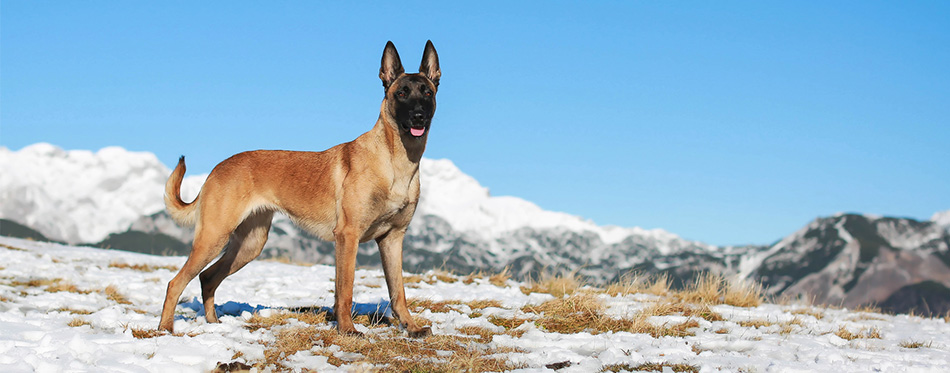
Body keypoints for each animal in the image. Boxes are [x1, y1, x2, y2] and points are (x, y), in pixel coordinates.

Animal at [160, 40, 442, 338]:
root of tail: (216, 169)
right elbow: (345, 289)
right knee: (176, 282)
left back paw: (213, 323)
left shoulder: (393, 239)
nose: (419, 117)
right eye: (401, 93)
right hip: (213, 237)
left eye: (427, 93)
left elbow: (398, 291)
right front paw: (347, 329)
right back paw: (166, 328)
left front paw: (411, 327)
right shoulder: (348, 236)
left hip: (249, 245)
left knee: (207, 277)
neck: (394, 161)